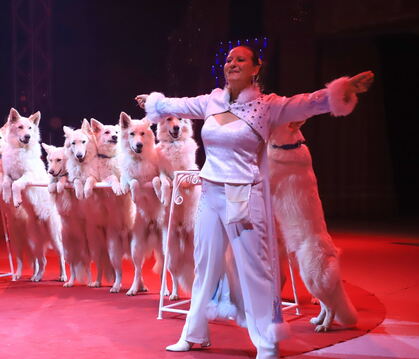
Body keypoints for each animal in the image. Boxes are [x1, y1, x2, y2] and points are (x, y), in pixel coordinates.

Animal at [1, 108, 66, 282]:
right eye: (20, 127)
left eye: (30, 128)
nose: (28, 137)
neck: (19, 150)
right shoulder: (8, 173)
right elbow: (6, 183)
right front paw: (7, 196)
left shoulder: (28, 176)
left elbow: (16, 184)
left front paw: (16, 199)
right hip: (33, 241)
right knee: (41, 260)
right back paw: (37, 277)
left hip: (54, 236)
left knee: (61, 256)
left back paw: (63, 276)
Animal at [42, 143, 90, 286]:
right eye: (50, 160)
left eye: (59, 160)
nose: (50, 171)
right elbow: (52, 183)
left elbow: (64, 179)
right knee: (62, 256)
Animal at [90, 119, 135, 294]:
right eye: (107, 132)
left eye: (117, 131)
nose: (115, 136)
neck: (112, 157)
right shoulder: (105, 177)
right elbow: (113, 179)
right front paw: (117, 188)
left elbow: (122, 177)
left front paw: (122, 186)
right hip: (113, 252)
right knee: (118, 272)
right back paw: (115, 286)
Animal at [153, 117, 199, 300]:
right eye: (168, 118)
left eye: (180, 118)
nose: (177, 127)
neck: (174, 145)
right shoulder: (162, 172)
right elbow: (162, 181)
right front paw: (165, 198)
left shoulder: (190, 170)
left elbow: (187, 177)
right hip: (171, 257)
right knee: (174, 277)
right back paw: (173, 294)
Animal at [270, 121, 358, 334]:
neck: (288, 145)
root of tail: (333, 254)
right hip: (310, 280)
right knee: (326, 305)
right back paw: (318, 320)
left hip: (311, 279)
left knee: (331, 307)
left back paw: (324, 326)